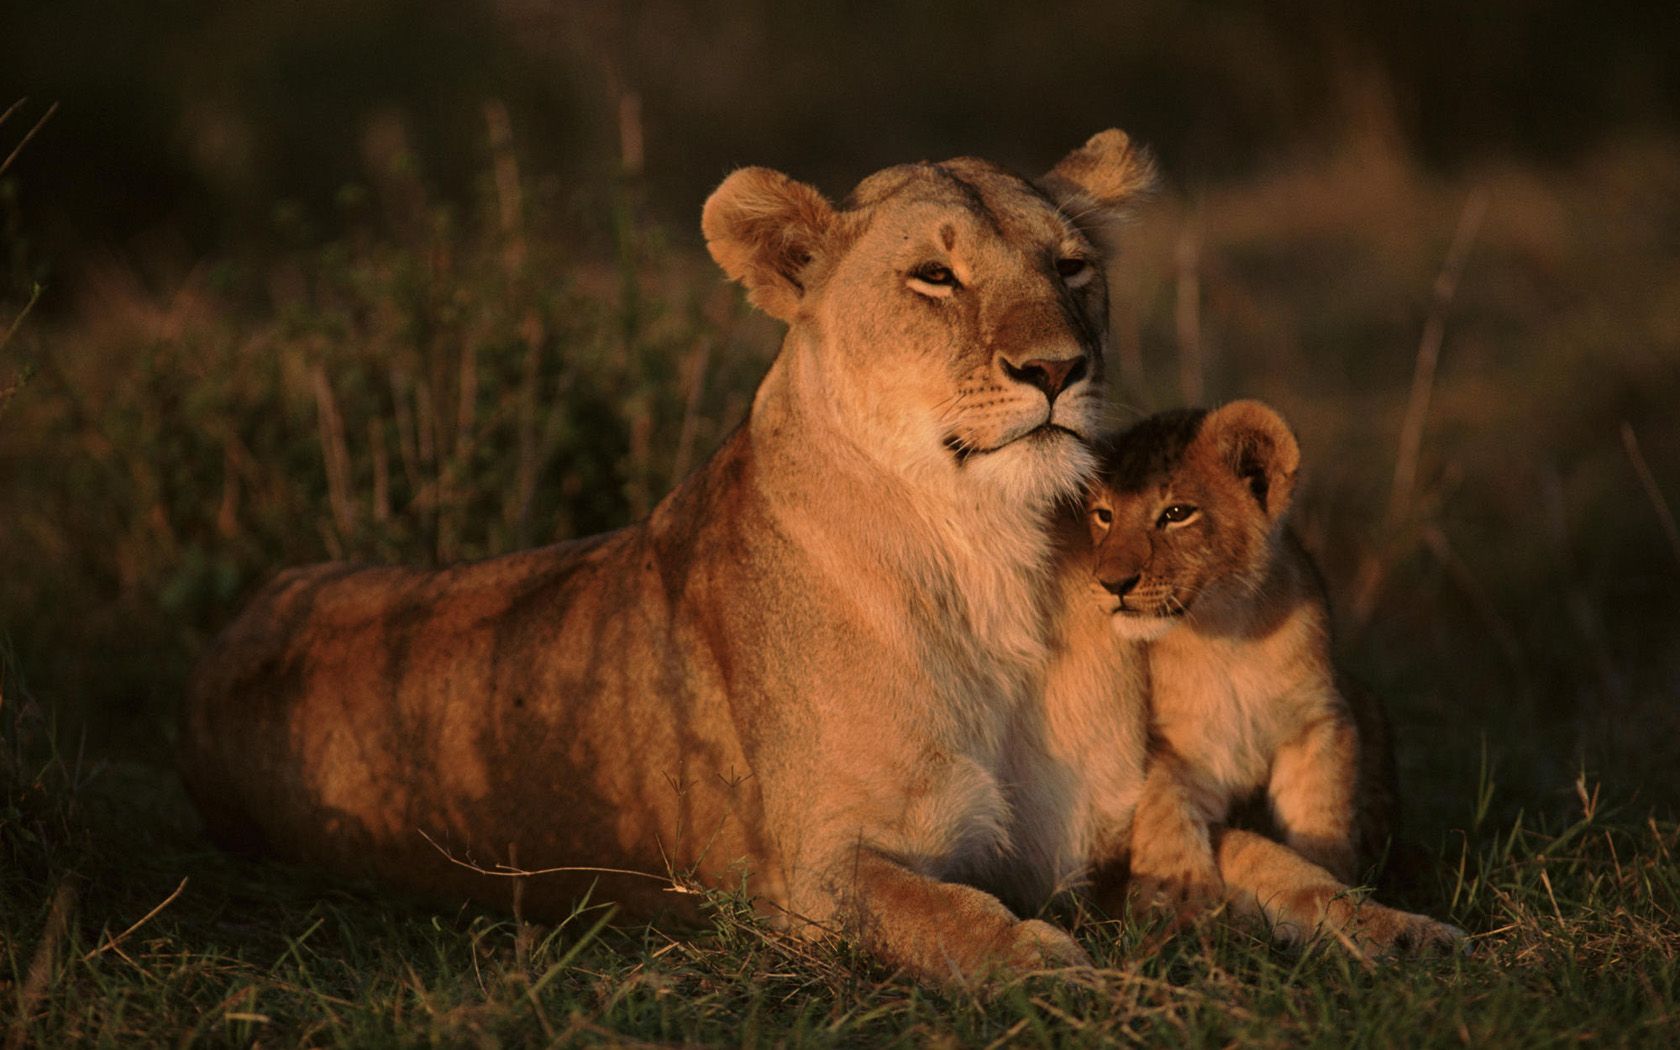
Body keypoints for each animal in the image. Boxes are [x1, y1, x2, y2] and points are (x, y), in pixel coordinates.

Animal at [181, 130, 1157, 984]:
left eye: (1070, 267)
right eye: (936, 277)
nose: (1057, 368)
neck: (996, 560)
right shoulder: (812, 876)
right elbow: (947, 916)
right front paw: (1049, 967)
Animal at [1066, 401, 1463, 952]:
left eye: (1176, 514)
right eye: (1103, 515)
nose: (1112, 583)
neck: (1226, 636)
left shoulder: (1319, 720)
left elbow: (1322, 814)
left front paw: (1340, 884)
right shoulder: (1169, 747)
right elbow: (1167, 811)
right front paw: (1175, 901)